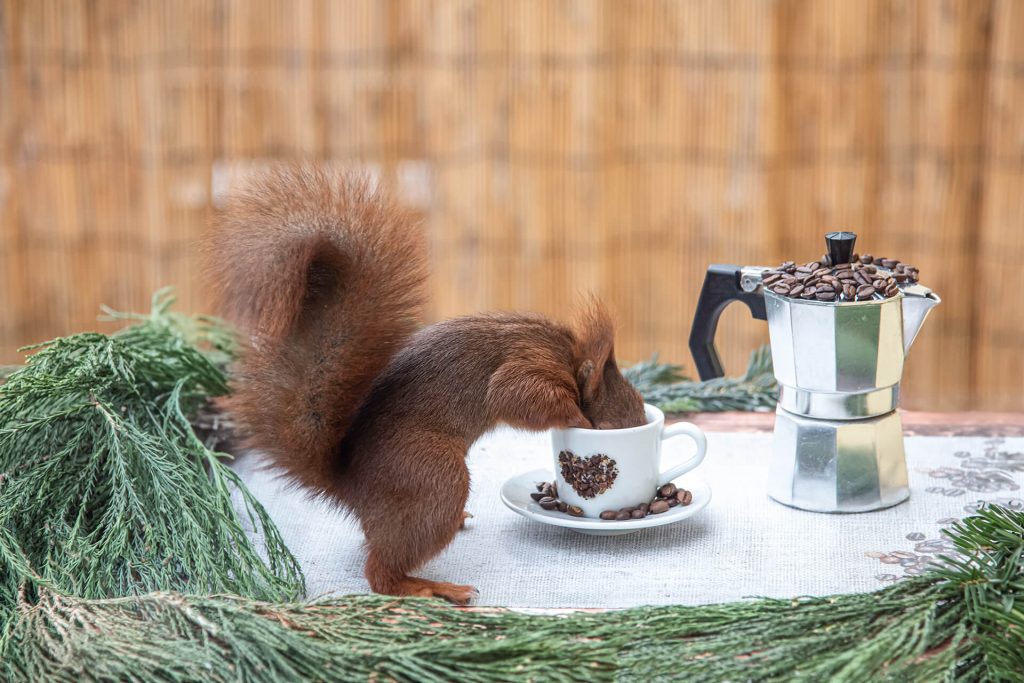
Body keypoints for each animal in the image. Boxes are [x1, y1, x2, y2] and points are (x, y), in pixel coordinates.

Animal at [204, 165, 646, 604]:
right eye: (613, 425)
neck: (570, 358)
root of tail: (349, 485)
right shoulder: (532, 362)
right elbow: (516, 395)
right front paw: (578, 420)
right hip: (431, 477)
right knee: (381, 574)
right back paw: (429, 587)